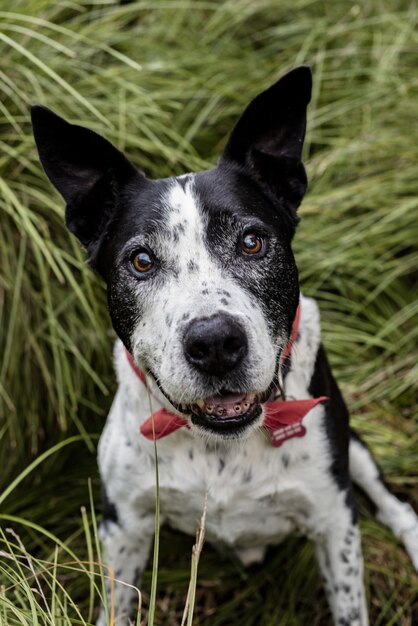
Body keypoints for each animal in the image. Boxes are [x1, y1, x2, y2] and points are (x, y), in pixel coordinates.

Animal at [31, 66, 418, 620]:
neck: (220, 444)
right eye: (141, 260)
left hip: (354, 452)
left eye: (252, 241)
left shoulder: (334, 522)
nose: (215, 342)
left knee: (391, 500)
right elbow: (115, 606)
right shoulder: (123, 526)